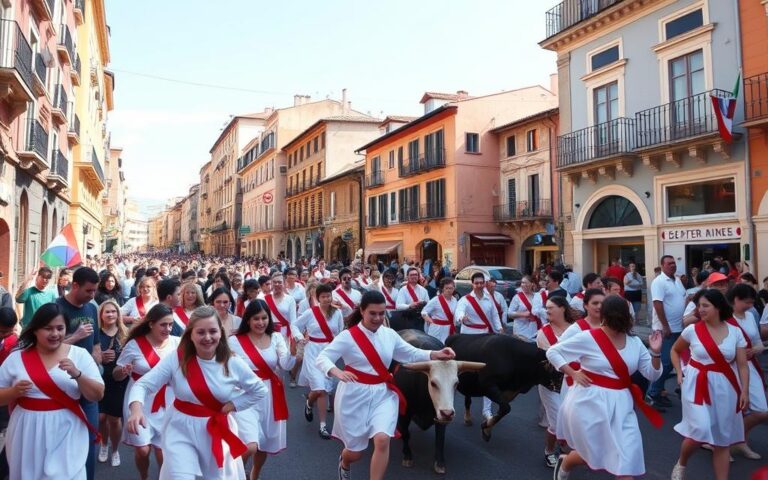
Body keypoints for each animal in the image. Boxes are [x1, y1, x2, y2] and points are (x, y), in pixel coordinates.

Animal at [392, 330, 560, 472]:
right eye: (554, 369)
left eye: (560, 370)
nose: (560, 388)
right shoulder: (489, 385)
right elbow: (505, 408)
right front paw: (486, 428)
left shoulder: (508, 392)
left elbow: (502, 410)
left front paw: (487, 426)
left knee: (468, 400)